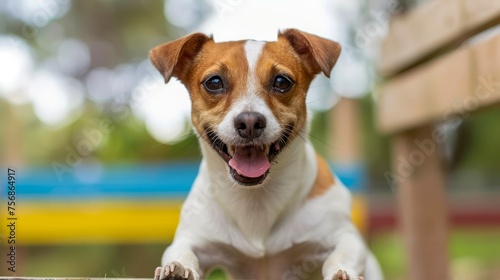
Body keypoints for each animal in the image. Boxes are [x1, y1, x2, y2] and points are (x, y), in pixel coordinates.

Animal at [149, 28, 382, 280]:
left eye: (281, 81)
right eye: (214, 82)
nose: (250, 122)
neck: (256, 200)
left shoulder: (345, 237)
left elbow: (340, 255)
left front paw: (341, 272)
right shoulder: (193, 240)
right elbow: (182, 253)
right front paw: (178, 268)